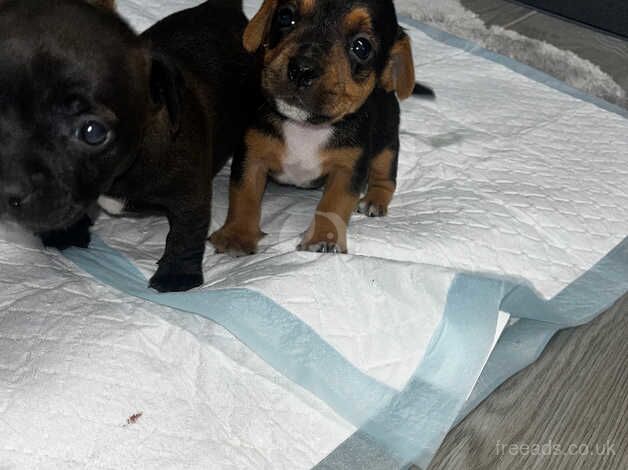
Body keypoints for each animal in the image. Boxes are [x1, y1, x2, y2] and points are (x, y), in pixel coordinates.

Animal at [0, 0, 255, 292]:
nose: (7, 189)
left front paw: (177, 275)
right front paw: (66, 232)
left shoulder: (191, 196)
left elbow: (185, 233)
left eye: (92, 132)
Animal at [211, 0, 432, 258]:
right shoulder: (252, 154)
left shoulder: (348, 169)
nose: (302, 69)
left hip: (386, 145)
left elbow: (334, 204)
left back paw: (375, 200)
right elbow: (244, 195)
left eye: (361, 47)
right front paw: (237, 235)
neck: (305, 126)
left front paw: (323, 238)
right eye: (285, 16)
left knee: (385, 178)